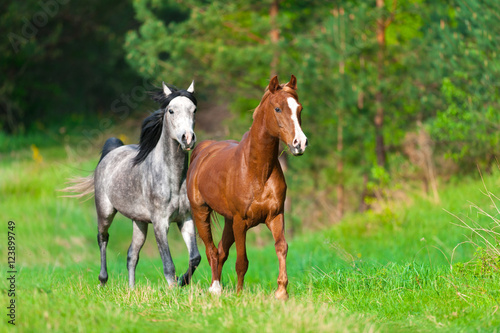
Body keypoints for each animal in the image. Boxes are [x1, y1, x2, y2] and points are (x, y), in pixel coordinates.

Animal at [65, 81, 200, 288]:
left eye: (194, 110)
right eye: (171, 110)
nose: (188, 138)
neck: (173, 179)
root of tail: (111, 152)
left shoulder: (185, 218)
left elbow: (195, 258)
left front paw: (182, 282)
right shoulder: (160, 223)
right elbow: (168, 265)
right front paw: (173, 289)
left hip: (139, 222)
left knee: (132, 254)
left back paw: (131, 289)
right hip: (105, 212)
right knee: (103, 238)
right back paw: (102, 281)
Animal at [187, 75, 306, 298]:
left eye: (299, 108)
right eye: (278, 109)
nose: (300, 144)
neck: (257, 171)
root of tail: (203, 150)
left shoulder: (275, 216)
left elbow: (281, 247)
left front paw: (281, 292)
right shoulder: (240, 222)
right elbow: (242, 261)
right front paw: (239, 294)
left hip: (228, 221)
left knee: (221, 251)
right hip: (201, 213)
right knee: (211, 250)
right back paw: (215, 288)